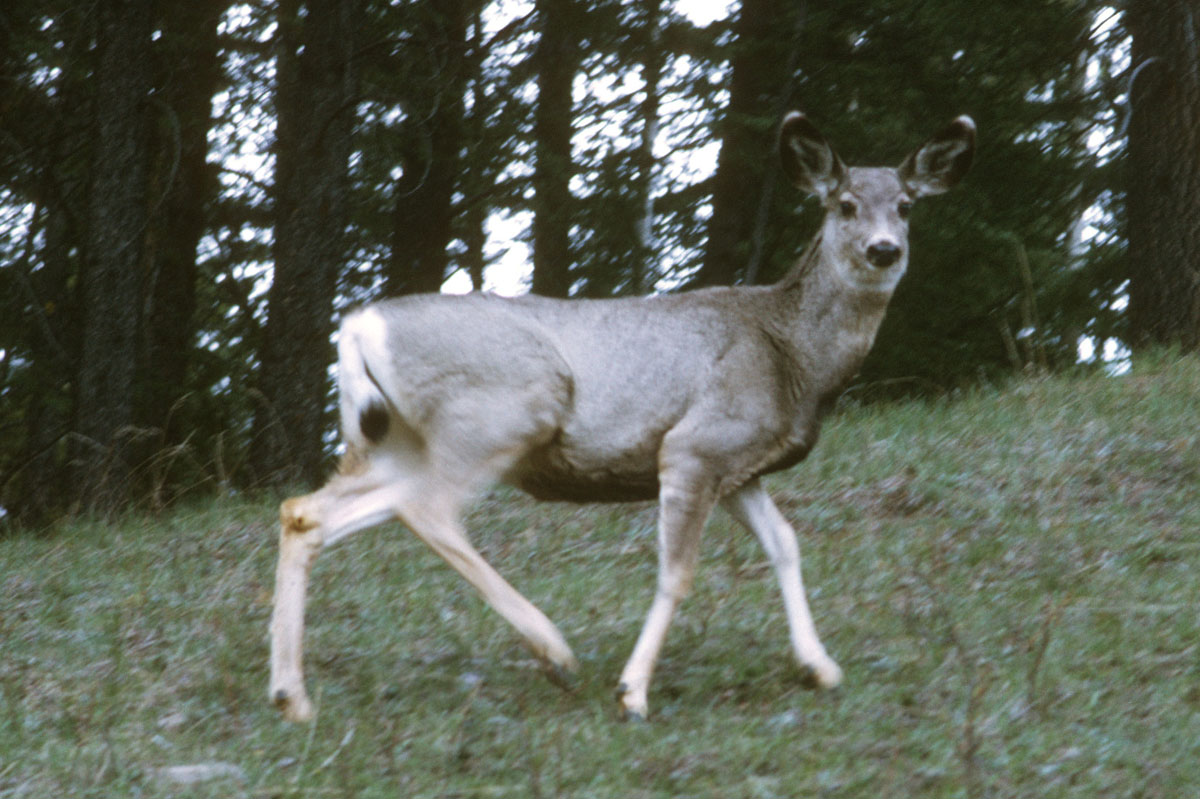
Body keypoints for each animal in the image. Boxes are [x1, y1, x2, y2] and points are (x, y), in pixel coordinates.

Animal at [268, 110, 975, 722]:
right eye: (845, 204)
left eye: (906, 205)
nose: (883, 249)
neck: (794, 356)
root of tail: (359, 327)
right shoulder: (695, 444)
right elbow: (678, 572)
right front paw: (633, 691)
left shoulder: (741, 468)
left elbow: (786, 544)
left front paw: (818, 666)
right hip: (504, 409)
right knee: (429, 510)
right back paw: (554, 650)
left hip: (397, 441)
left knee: (307, 511)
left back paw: (292, 697)